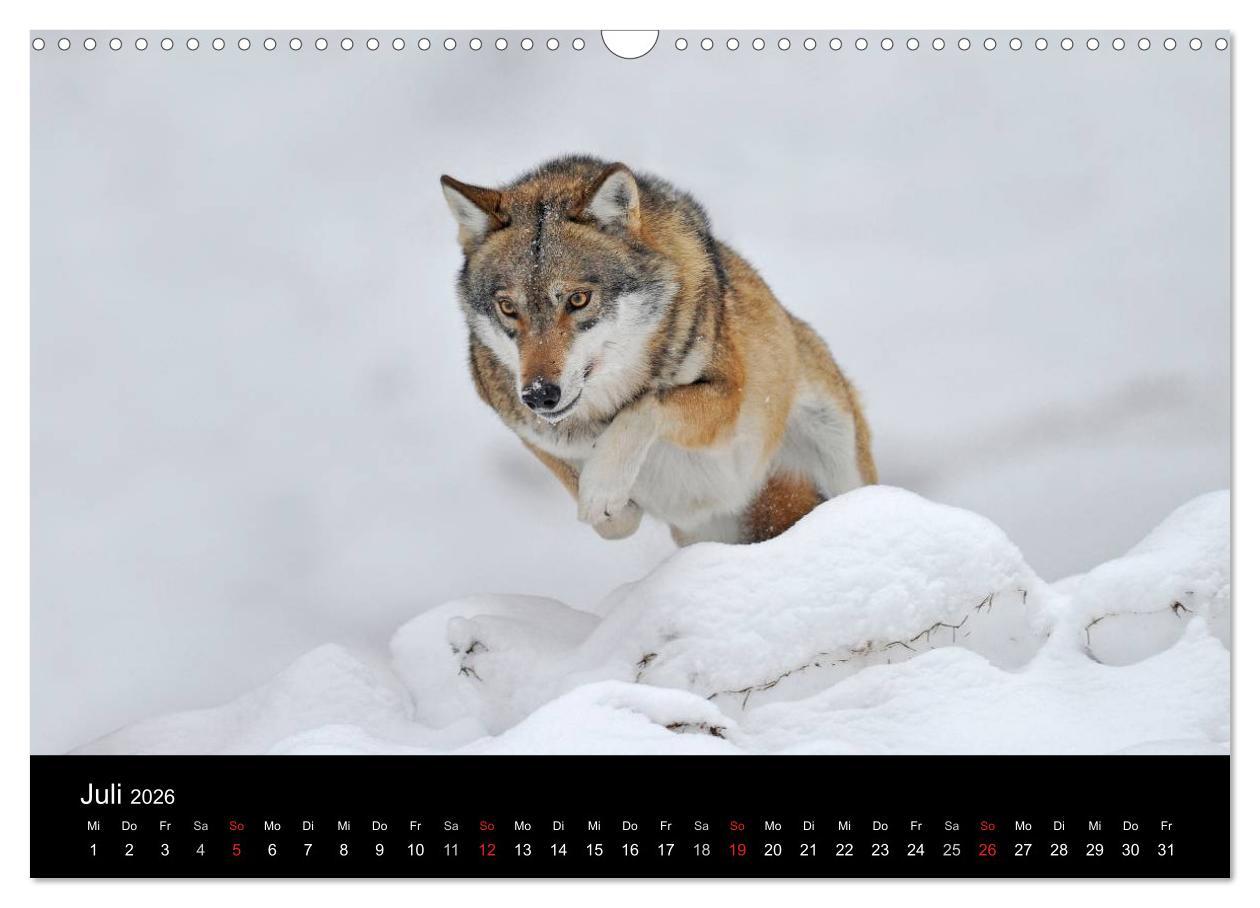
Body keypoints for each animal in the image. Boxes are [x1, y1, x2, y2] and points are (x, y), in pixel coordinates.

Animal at [440, 156, 877, 545]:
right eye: (507, 308)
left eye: (579, 299)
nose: (539, 395)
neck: (597, 414)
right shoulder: (526, 428)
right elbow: (609, 519)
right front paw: (616, 505)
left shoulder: (728, 398)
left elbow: (644, 408)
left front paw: (602, 486)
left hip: (838, 444)